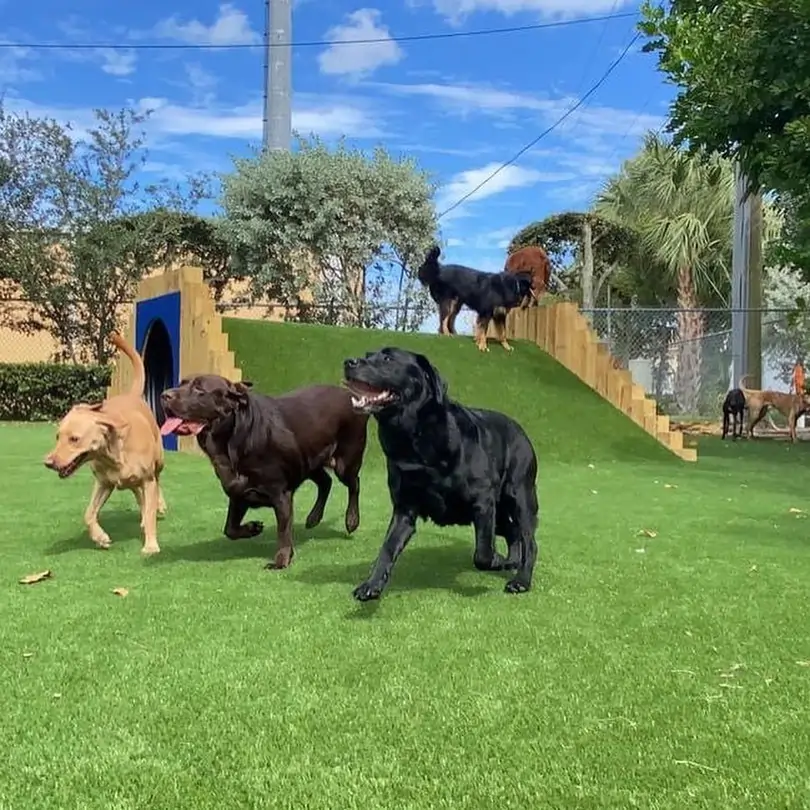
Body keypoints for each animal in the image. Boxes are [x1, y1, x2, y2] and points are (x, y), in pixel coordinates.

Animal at [340, 348, 536, 600]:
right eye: (367, 354)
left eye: (388, 358)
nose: (349, 362)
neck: (414, 440)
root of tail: (521, 430)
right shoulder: (404, 508)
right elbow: (387, 548)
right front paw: (371, 584)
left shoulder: (482, 502)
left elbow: (482, 554)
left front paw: (496, 560)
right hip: (499, 511)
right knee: (512, 532)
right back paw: (512, 561)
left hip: (520, 497)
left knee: (528, 540)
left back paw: (521, 579)